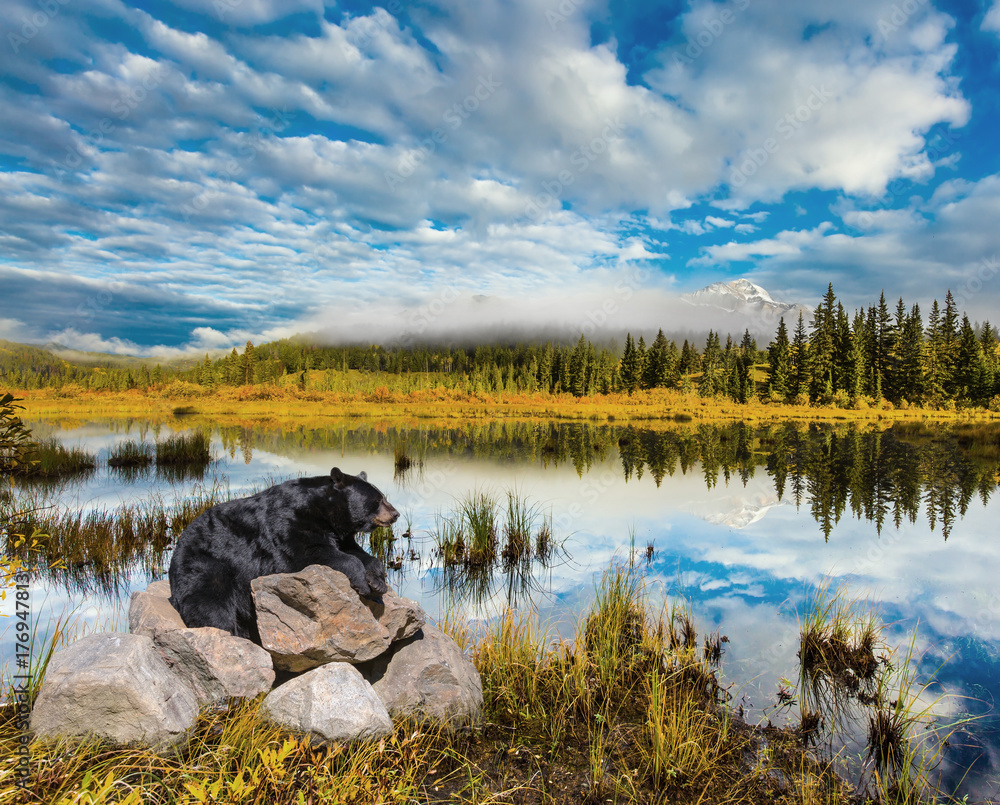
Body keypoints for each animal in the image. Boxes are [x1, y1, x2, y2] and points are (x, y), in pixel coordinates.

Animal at [167, 467, 399, 642]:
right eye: (378, 499)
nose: (395, 514)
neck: (324, 511)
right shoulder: (289, 522)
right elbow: (311, 554)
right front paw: (361, 582)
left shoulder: (341, 535)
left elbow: (359, 553)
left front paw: (377, 581)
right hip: (205, 566)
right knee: (211, 605)